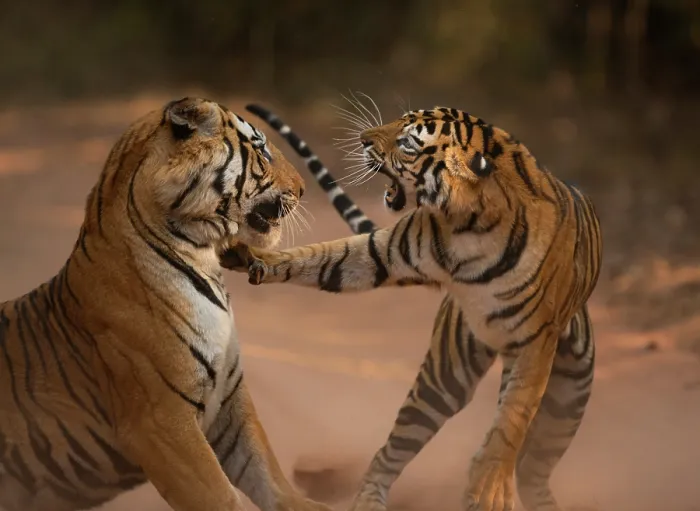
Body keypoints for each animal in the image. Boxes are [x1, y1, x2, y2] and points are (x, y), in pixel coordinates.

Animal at [0, 97, 334, 511]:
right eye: (261, 148)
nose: (303, 190)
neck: (201, 255)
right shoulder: (159, 423)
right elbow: (221, 497)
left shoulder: (229, 401)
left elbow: (268, 475)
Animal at [223, 104, 602, 511]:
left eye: (407, 143)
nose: (363, 139)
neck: (471, 222)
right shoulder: (380, 253)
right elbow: (319, 257)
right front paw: (250, 256)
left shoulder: (535, 343)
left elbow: (510, 422)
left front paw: (488, 488)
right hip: (445, 378)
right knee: (391, 450)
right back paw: (367, 501)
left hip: (569, 394)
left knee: (533, 465)